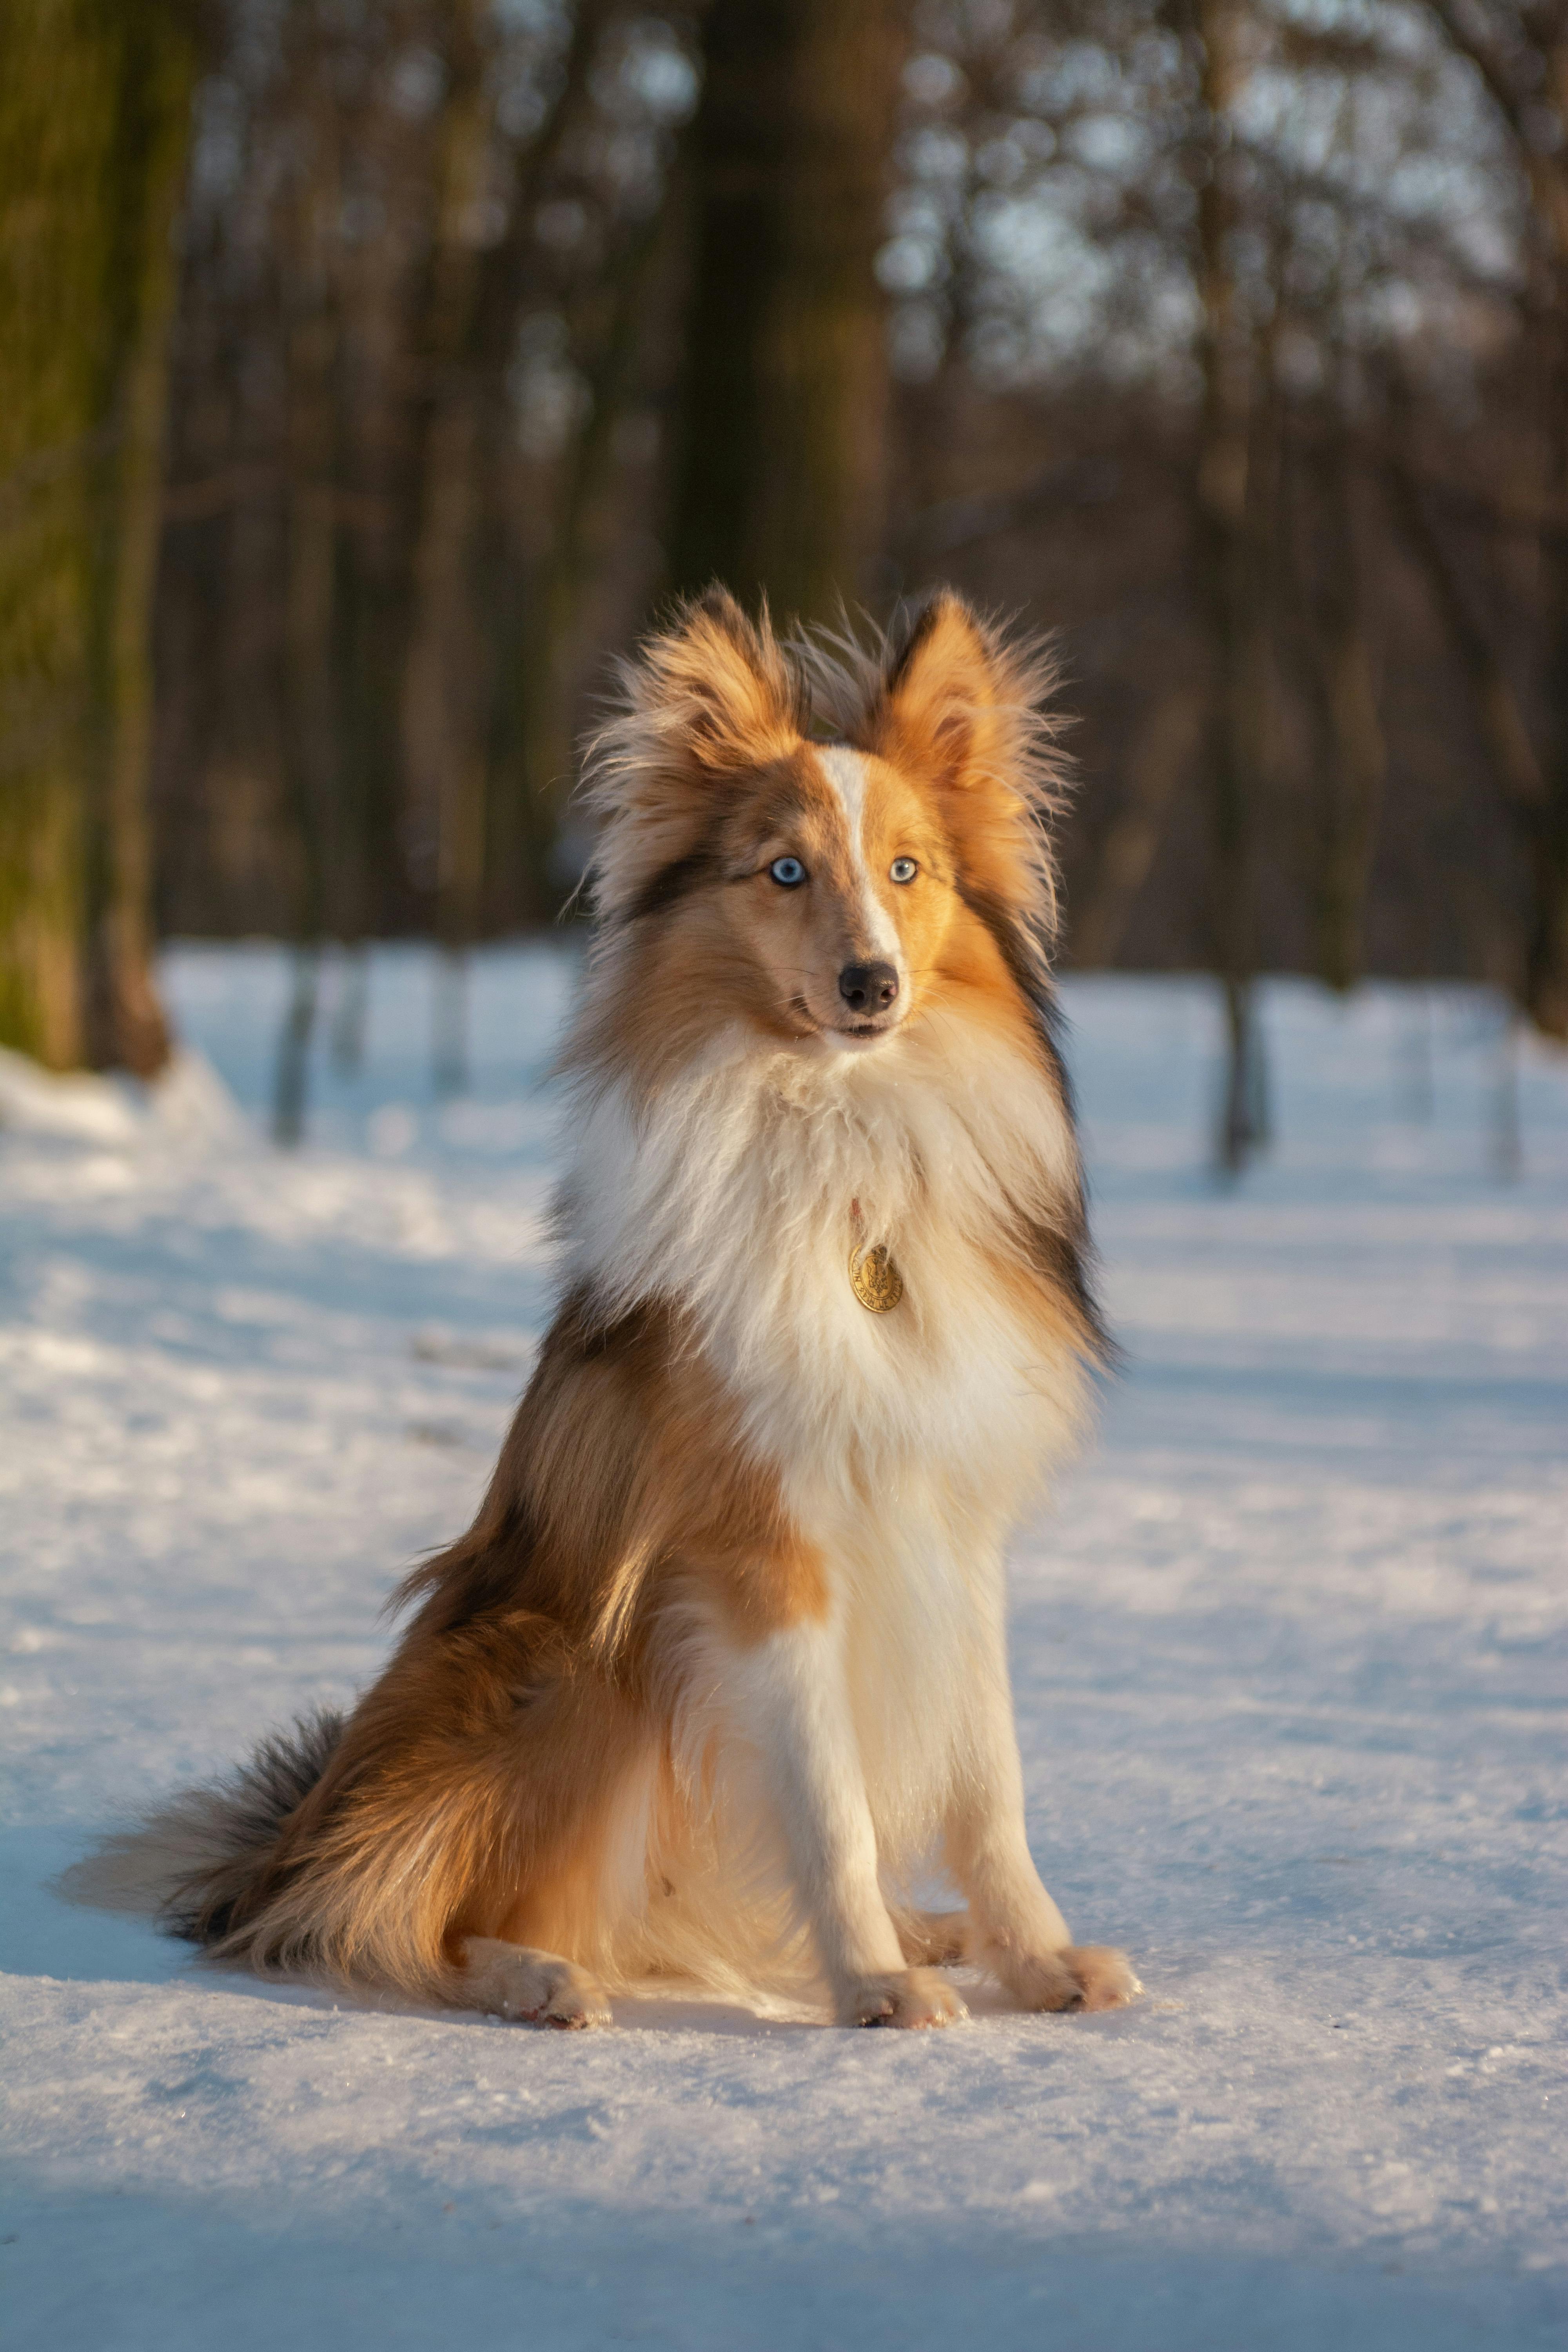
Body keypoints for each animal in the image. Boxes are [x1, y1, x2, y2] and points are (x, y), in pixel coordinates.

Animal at [80, 583, 1142, 2023]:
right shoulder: (759, 1553)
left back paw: (920, 1931)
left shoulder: (952, 1523)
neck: (841, 1150)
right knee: (393, 1917)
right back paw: (539, 1978)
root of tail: (287, 1840)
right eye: (784, 871)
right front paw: (870, 1984)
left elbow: (991, 1784)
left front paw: (1030, 1956)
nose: (871, 986)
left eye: (909, 870)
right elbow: (829, 1802)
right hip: (573, 1659)